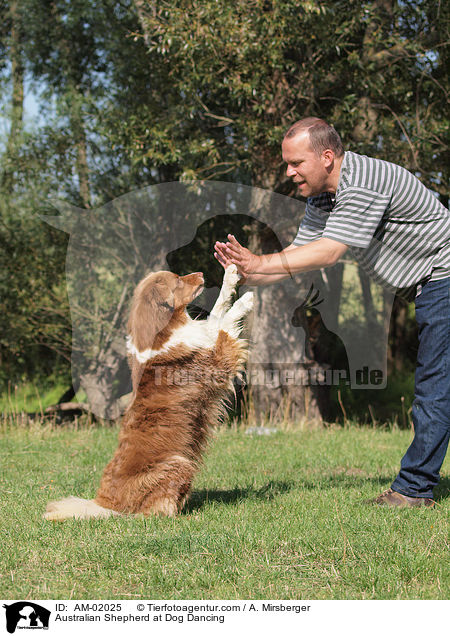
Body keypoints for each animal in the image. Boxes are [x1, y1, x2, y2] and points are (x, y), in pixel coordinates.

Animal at [43, 266, 253, 520]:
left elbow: (217, 311)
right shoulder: (218, 362)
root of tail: (105, 503)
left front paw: (230, 276)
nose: (201, 273)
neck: (165, 329)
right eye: (177, 280)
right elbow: (224, 326)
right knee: (154, 511)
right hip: (179, 462)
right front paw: (245, 301)